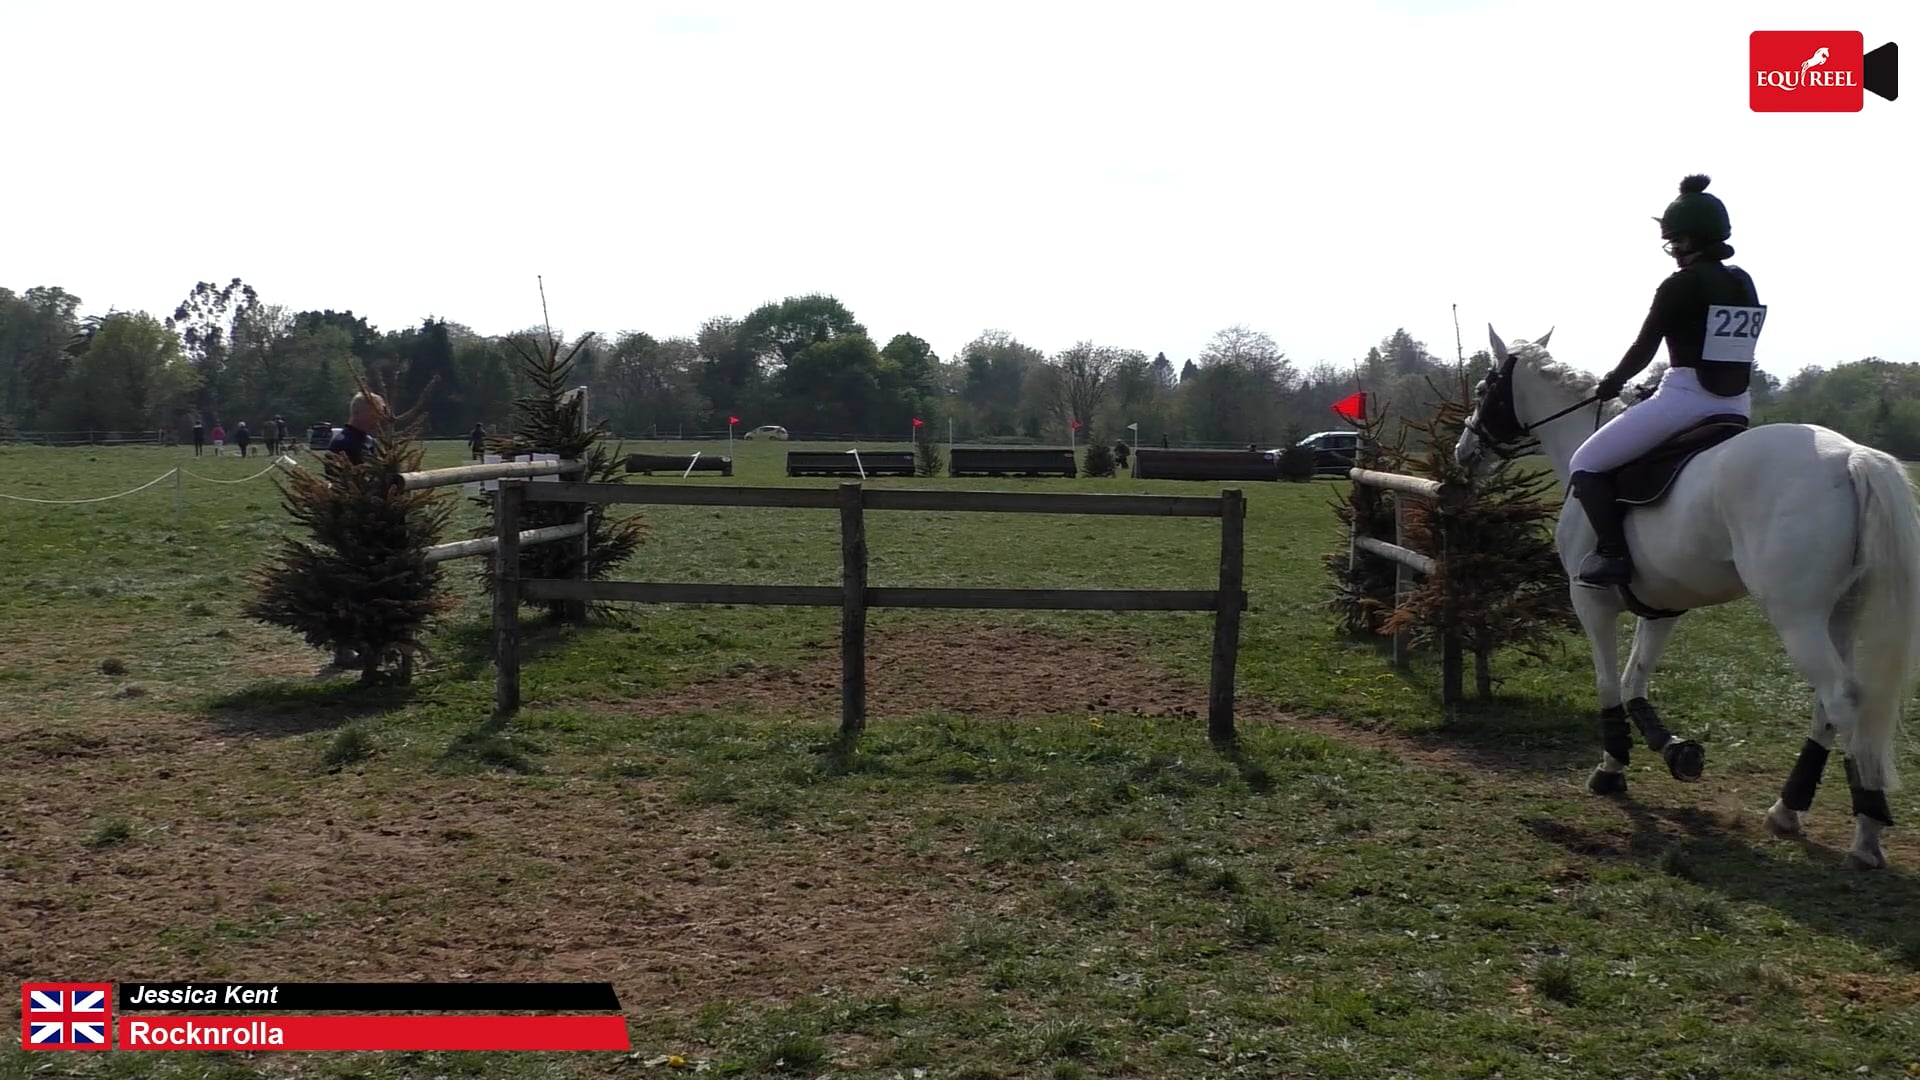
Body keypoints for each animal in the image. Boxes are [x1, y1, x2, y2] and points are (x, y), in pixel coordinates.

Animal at [1453, 326, 1920, 870]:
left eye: (1485, 388)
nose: (1465, 451)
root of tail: (1850, 457)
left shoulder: (1590, 599)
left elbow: (1608, 683)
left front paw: (1611, 768)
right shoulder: (1662, 606)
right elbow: (1634, 681)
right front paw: (1673, 749)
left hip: (1796, 617)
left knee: (1842, 699)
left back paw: (1866, 833)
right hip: (1840, 614)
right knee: (1828, 704)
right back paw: (1787, 809)